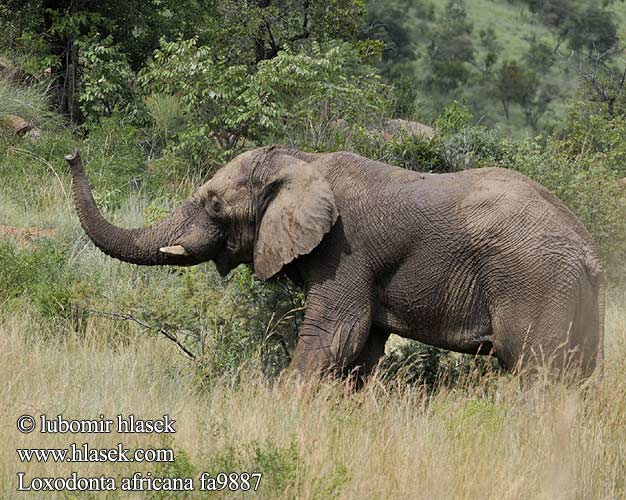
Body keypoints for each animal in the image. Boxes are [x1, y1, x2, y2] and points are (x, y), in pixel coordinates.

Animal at [64, 146, 604, 376]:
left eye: (214, 204)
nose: (71, 154)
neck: (302, 160)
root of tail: (589, 253)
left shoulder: (344, 249)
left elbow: (336, 333)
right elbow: (363, 345)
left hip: (535, 283)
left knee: (537, 371)